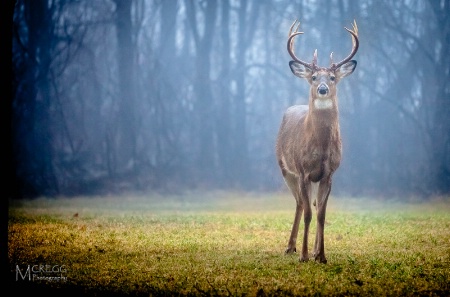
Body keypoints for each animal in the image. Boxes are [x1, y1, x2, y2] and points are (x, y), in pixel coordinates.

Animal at [274, 19, 358, 262]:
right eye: (313, 77)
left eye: (332, 77)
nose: (322, 89)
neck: (320, 147)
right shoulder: (303, 171)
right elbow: (309, 214)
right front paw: (303, 256)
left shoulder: (329, 174)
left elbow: (321, 213)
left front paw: (320, 255)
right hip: (285, 169)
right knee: (300, 203)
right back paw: (290, 247)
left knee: (309, 203)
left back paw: (309, 250)